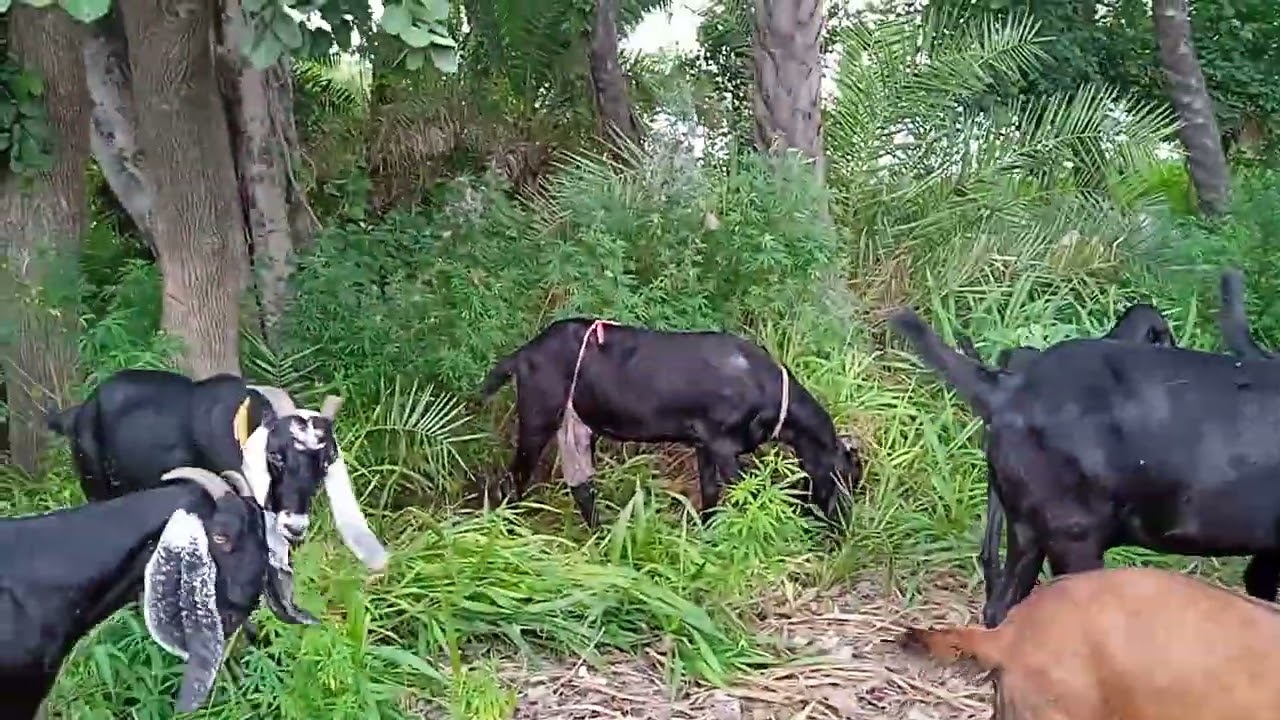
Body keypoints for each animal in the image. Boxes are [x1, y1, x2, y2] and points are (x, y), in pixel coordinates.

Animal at [480, 318, 861, 528]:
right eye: (843, 476)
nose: (845, 524)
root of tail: (523, 354)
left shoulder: (705, 446)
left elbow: (710, 495)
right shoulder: (723, 447)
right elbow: (747, 490)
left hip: (576, 426)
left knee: (581, 488)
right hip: (538, 417)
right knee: (514, 480)